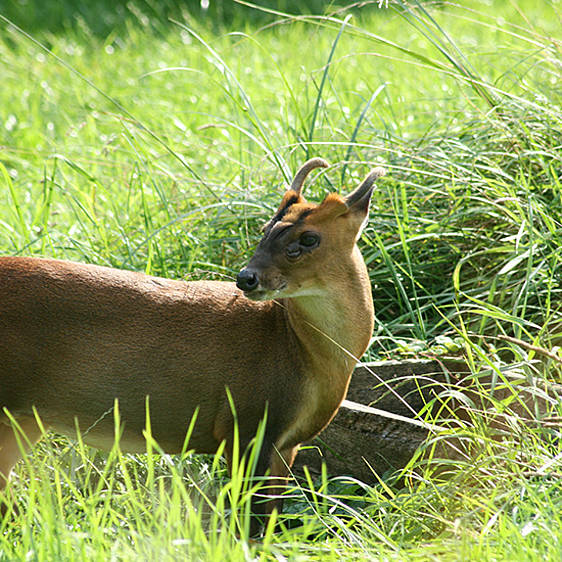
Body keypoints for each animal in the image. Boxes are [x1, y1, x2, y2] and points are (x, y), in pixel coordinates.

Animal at [0, 156, 380, 528]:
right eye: (264, 231)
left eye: (309, 238)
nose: (246, 278)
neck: (302, 353)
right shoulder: (244, 423)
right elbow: (249, 522)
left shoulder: (285, 444)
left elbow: (273, 518)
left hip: (24, 418)